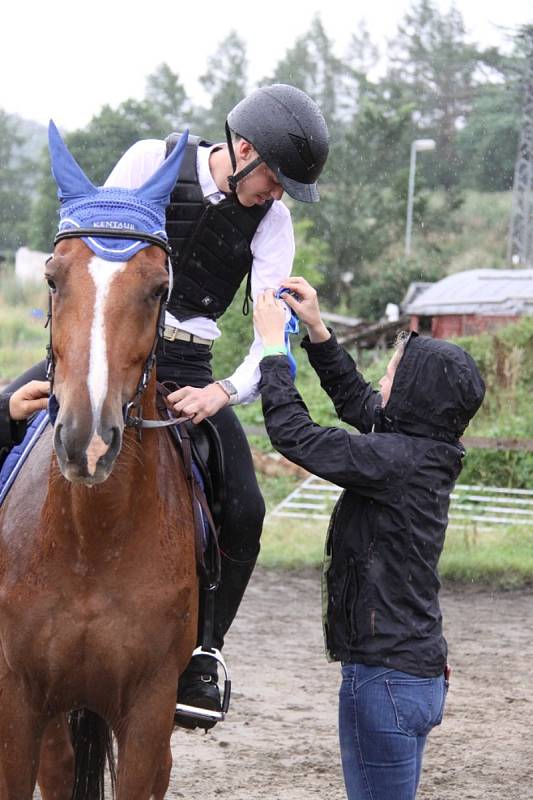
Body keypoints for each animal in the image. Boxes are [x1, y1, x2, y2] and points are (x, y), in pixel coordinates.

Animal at [0, 122, 197, 796]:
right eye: (53, 279)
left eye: (160, 289)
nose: (87, 441)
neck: (93, 538)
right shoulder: (19, 702)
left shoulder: (148, 715)